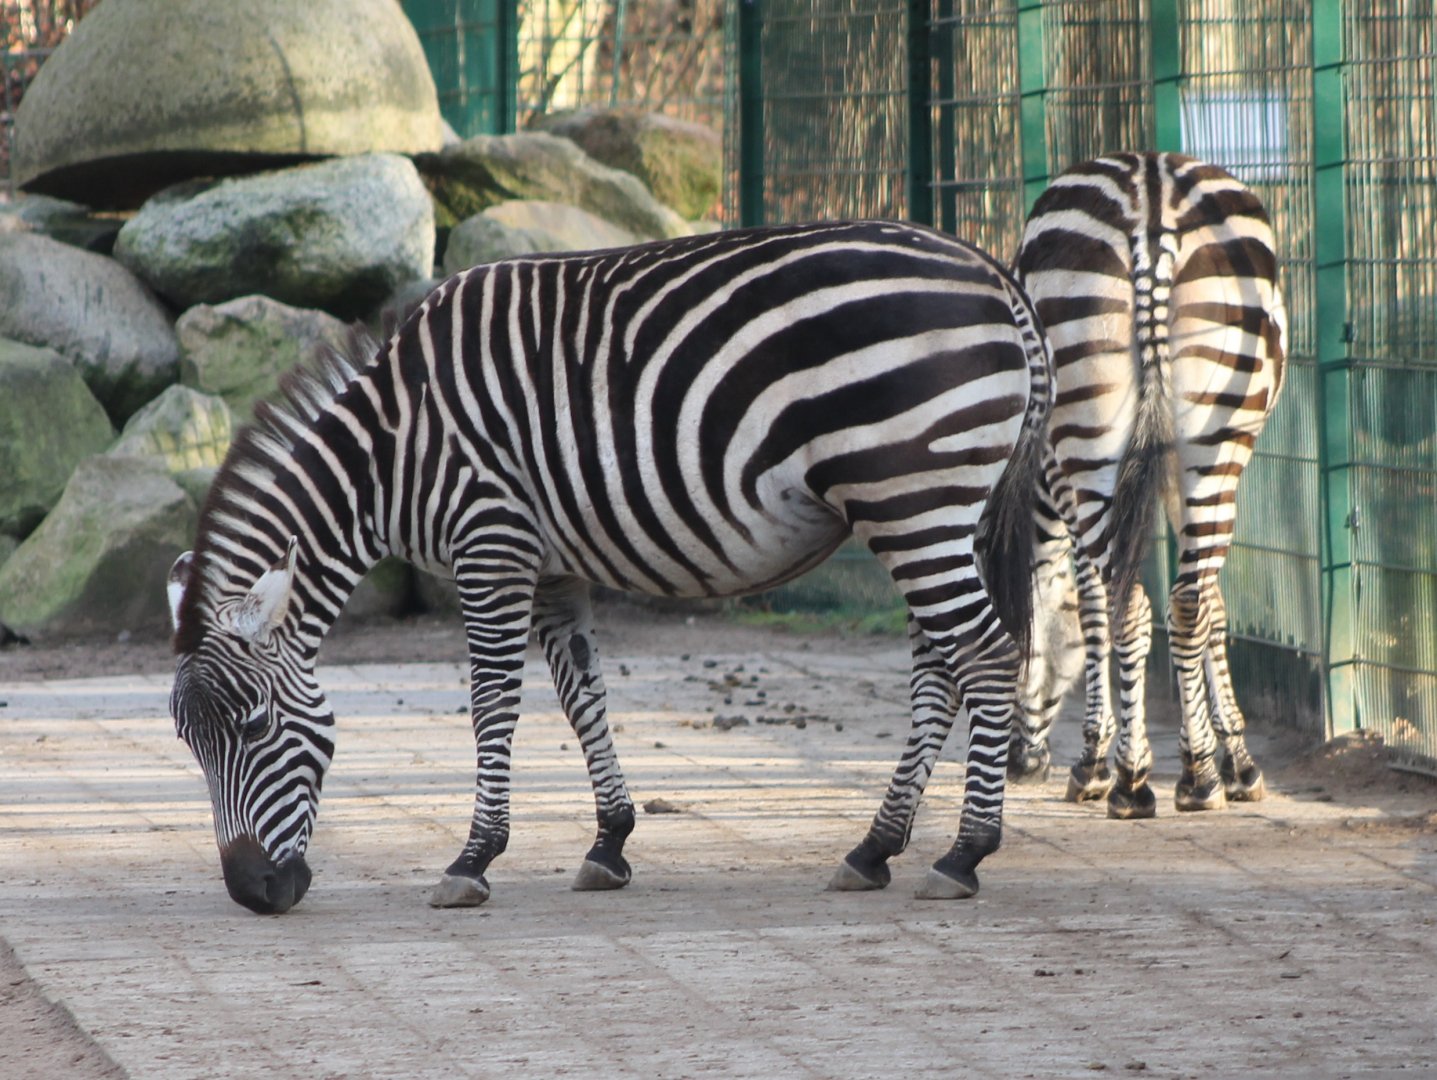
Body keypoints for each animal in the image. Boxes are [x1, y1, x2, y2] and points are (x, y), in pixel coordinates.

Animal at [166, 220, 1054, 915]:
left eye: (254, 727)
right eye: (187, 745)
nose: (253, 893)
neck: (389, 453)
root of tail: (994, 275)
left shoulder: (490, 544)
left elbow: (493, 703)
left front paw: (473, 859)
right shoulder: (552, 565)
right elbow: (579, 691)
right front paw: (609, 843)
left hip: (911, 494)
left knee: (985, 654)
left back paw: (963, 853)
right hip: (934, 508)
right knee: (941, 664)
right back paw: (874, 847)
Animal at [1008, 152, 1287, 817]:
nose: (1019, 767)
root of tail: (1151, 191)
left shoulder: (1062, 482)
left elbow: (1090, 603)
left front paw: (1099, 758)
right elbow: (1211, 603)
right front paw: (1231, 759)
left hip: (1095, 450)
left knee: (1125, 598)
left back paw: (1128, 778)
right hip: (1213, 439)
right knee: (1182, 602)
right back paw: (1192, 778)